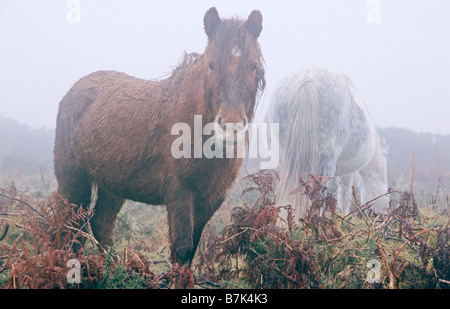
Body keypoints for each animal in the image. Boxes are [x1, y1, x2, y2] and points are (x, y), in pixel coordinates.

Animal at [53, 7, 264, 264]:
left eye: (253, 66)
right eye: (212, 65)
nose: (231, 125)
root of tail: (74, 91)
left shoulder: (211, 198)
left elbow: (191, 250)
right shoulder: (179, 191)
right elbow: (182, 248)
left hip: (112, 185)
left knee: (100, 222)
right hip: (72, 179)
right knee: (68, 228)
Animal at [266, 66, 388, 218]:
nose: (379, 216)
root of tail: (306, 80)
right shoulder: (348, 173)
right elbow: (345, 195)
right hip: (325, 161)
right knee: (318, 193)